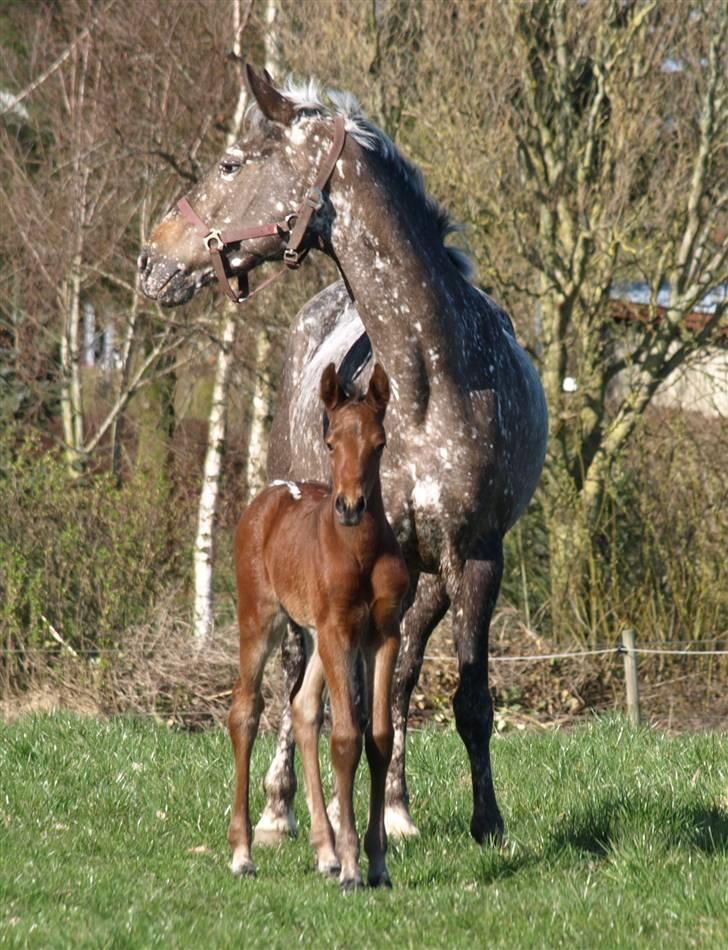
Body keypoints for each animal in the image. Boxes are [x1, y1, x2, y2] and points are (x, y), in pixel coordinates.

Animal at [229, 364, 406, 892]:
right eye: (330, 443)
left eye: (379, 443)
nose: (350, 506)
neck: (359, 552)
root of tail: (270, 492)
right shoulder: (339, 631)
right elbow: (345, 739)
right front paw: (351, 867)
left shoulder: (383, 634)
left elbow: (379, 738)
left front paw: (375, 863)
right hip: (263, 621)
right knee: (245, 711)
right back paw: (243, 853)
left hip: (312, 635)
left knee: (304, 708)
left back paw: (323, 852)